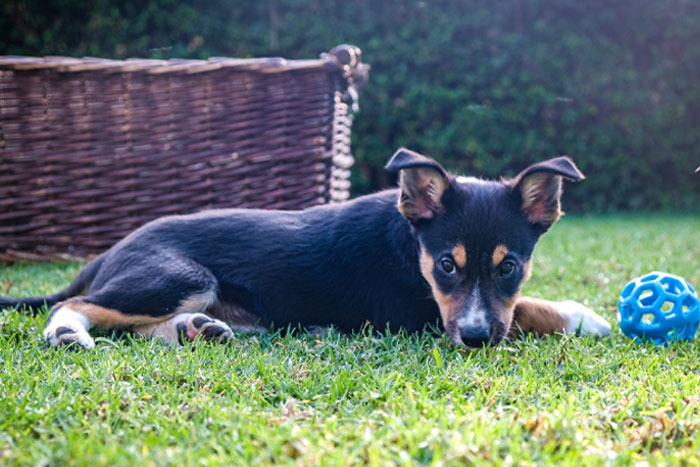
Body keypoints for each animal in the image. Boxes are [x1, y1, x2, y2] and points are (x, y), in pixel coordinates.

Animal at [0, 148, 608, 350]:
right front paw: (583, 314)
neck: (406, 246)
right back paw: (66, 333)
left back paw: (195, 329)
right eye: (444, 265)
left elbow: (518, 304)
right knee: (77, 305)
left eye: (509, 266)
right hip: (180, 275)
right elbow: (526, 310)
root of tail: (107, 254)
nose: (479, 340)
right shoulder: (418, 317)